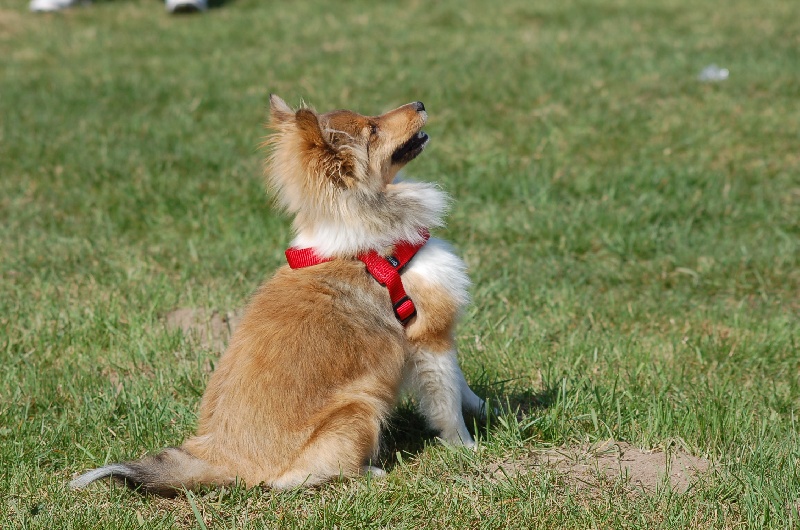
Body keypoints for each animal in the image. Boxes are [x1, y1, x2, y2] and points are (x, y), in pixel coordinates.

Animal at [70, 95, 482, 496]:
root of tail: (223, 459)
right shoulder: (429, 335)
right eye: (373, 129)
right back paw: (371, 472)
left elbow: (461, 383)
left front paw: (483, 407)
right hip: (361, 406)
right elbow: (447, 401)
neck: (374, 245)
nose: (420, 103)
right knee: (294, 478)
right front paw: (467, 446)